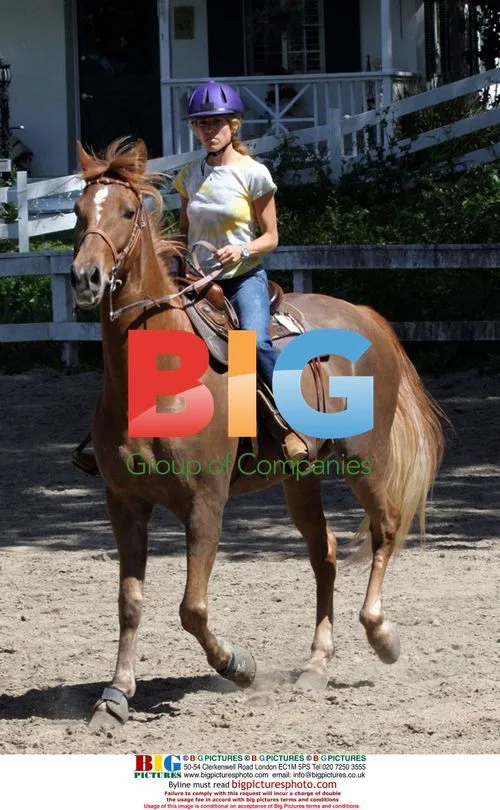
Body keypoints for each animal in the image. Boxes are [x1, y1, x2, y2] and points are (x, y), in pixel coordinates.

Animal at [71, 137, 444, 731]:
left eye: (128, 212)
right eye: (79, 212)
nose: (85, 278)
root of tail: (364, 315)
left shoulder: (206, 502)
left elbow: (192, 607)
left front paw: (239, 667)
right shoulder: (123, 501)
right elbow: (130, 603)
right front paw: (115, 696)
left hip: (366, 460)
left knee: (384, 531)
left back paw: (382, 636)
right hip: (300, 475)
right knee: (325, 553)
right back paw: (316, 665)